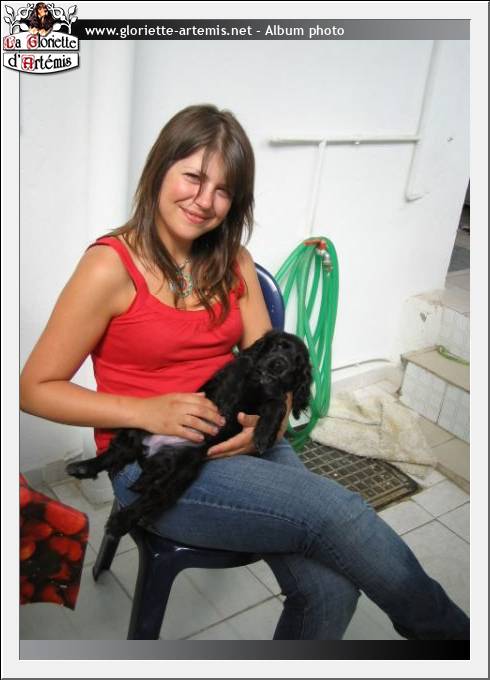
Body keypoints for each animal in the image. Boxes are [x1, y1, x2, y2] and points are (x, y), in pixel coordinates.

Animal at [66, 330, 312, 537]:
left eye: (298, 364)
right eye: (277, 346)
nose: (280, 365)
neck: (260, 384)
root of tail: (151, 454)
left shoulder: (271, 396)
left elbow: (277, 404)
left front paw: (262, 436)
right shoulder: (232, 376)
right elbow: (241, 367)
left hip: (181, 471)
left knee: (152, 494)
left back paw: (119, 511)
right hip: (140, 430)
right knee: (113, 456)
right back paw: (86, 471)